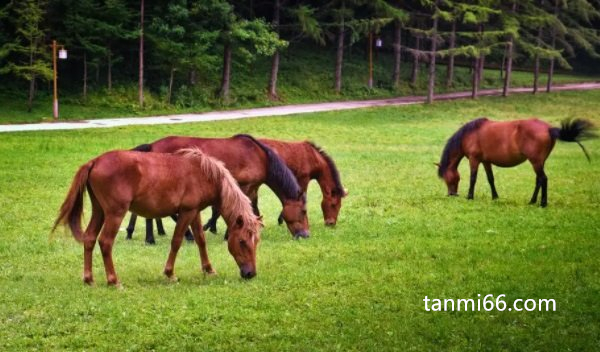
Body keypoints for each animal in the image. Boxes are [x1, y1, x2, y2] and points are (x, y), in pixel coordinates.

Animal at [54, 148, 262, 286]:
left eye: (256, 242)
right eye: (242, 241)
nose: (250, 273)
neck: (204, 173)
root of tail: (95, 161)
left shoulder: (194, 212)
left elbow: (201, 240)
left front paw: (209, 269)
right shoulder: (186, 212)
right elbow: (176, 241)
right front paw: (170, 273)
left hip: (99, 211)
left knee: (89, 239)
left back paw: (89, 279)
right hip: (115, 213)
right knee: (105, 242)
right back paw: (114, 280)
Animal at [126, 133, 308, 242]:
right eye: (304, 211)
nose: (305, 234)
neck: (260, 157)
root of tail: (152, 146)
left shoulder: (250, 188)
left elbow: (251, 209)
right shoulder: (244, 186)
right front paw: (224, 233)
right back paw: (153, 238)